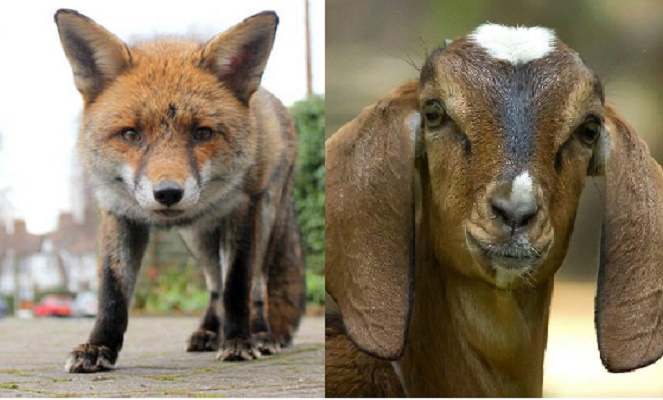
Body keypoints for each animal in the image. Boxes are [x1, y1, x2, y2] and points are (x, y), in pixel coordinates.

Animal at [54, 9, 306, 373]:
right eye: (131, 134)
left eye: (202, 133)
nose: (168, 193)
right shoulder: (118, 213)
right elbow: (112, 292)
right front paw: (99, 346)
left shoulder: (242, 210)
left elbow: (237, 287)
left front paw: (238, 341)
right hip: (198, 239)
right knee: (214, 285)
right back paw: (208, 332)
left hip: (266, 218)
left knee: (255, 286)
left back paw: (260, 334)